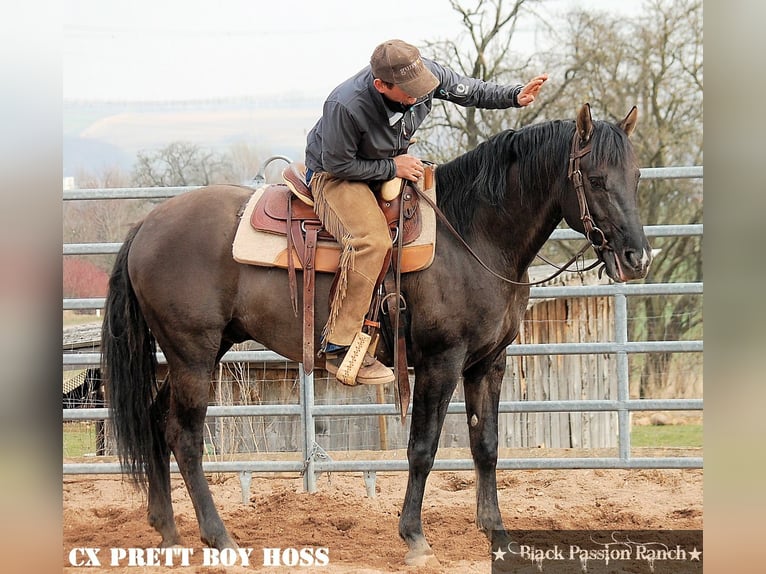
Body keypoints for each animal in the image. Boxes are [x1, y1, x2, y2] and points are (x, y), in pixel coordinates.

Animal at [101, 103, 651, 565]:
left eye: (637, 175)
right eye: (596, 179)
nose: (637, 259)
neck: (471, 236)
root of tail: (147, 223)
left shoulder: (487, 364)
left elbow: (487, 446)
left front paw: (498, 535)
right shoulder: (440, 362)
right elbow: (423, 448)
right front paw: (415, 538)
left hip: (196, 355)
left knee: (156, 422)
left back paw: (168, 531)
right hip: (193, 355)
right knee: (185, 436)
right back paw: (220, 538)